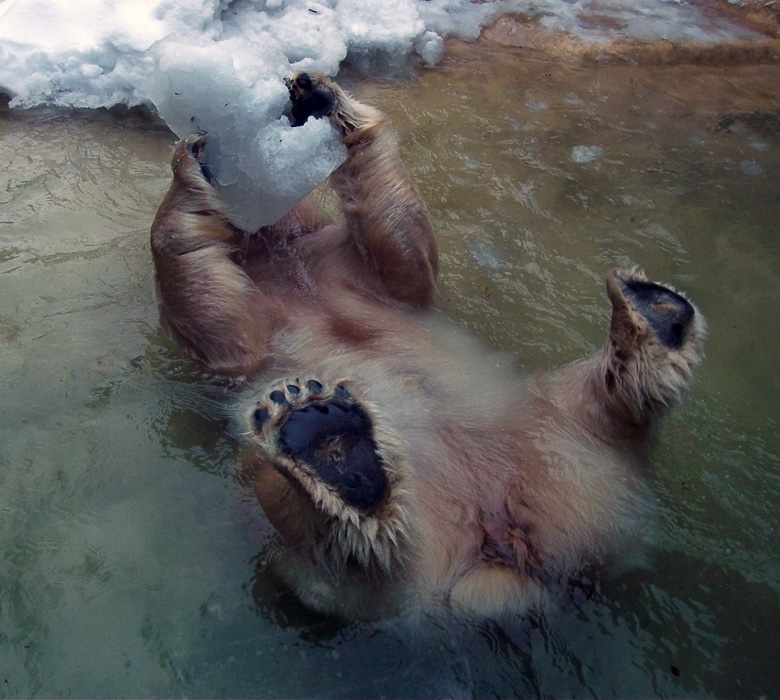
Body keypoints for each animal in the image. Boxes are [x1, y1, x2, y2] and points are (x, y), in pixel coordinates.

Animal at [149, 71, 704, 616]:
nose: (301, 90)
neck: (284, 262)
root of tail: (505, 553)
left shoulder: (339, 263)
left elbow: (402, 254)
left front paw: (323, 95)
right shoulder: (242, 336)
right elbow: (218, 318)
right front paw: (191, 163)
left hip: (565, 454)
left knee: (598, 408)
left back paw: (655, 313)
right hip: (394, 560)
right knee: (344, 556)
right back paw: (326, 442)